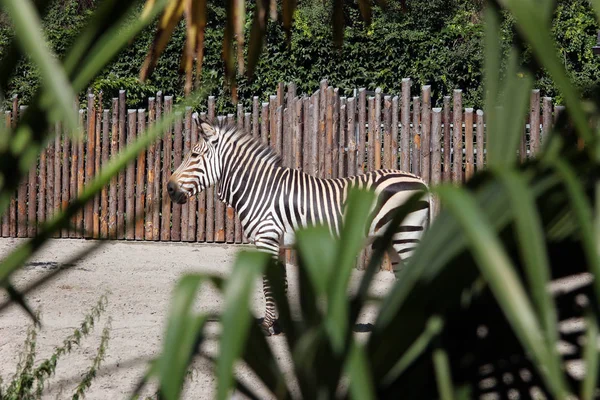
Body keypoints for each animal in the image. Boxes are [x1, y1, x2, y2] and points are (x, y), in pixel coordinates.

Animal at [166, 112, 434, 334]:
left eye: (194, 155)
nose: (169, 188)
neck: (259, 188)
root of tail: (421, 180)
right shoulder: (279, 243)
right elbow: (281, 285)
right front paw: (281, 326)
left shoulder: (266, 239)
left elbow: (268, 285)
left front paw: (267, 327)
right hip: (398, 240)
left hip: (407, 236)